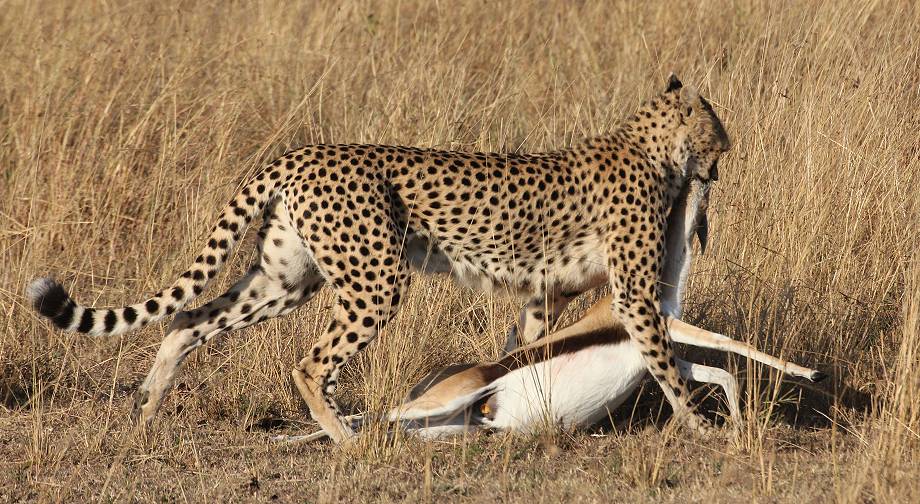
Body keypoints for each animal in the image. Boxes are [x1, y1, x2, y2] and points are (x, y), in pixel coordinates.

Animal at [28, 74, 728, 440]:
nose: (724, 157)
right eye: (717, 131)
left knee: (186, 319)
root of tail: (299, 152)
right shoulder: (634, 292)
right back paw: (345, 437)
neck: (649, 145)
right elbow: (663, 359)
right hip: (374, 280)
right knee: (309, 364)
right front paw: (701, 428)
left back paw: (148, 405)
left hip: (286, 278)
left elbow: (525, 349)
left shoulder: (541, 293)